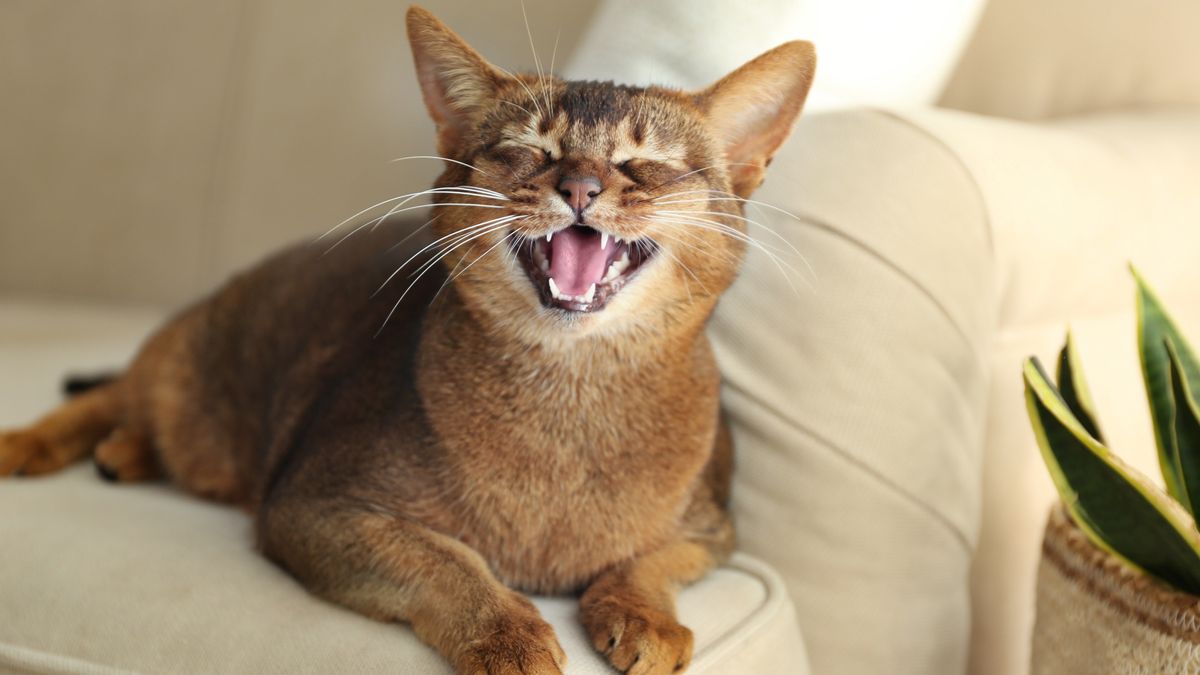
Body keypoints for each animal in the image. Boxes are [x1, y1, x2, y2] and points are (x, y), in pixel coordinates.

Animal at [0, 6, 816, 672]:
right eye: (529, 150)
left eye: (643, 163)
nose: (580, 188)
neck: (569, 397)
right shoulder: (313, 506)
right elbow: (443, 559)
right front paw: (506, 633)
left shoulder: (717, 530)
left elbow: (651, 560)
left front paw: (643, 614)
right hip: (187, 357)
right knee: (115, 390)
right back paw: (37, 443)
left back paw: (128, 455)